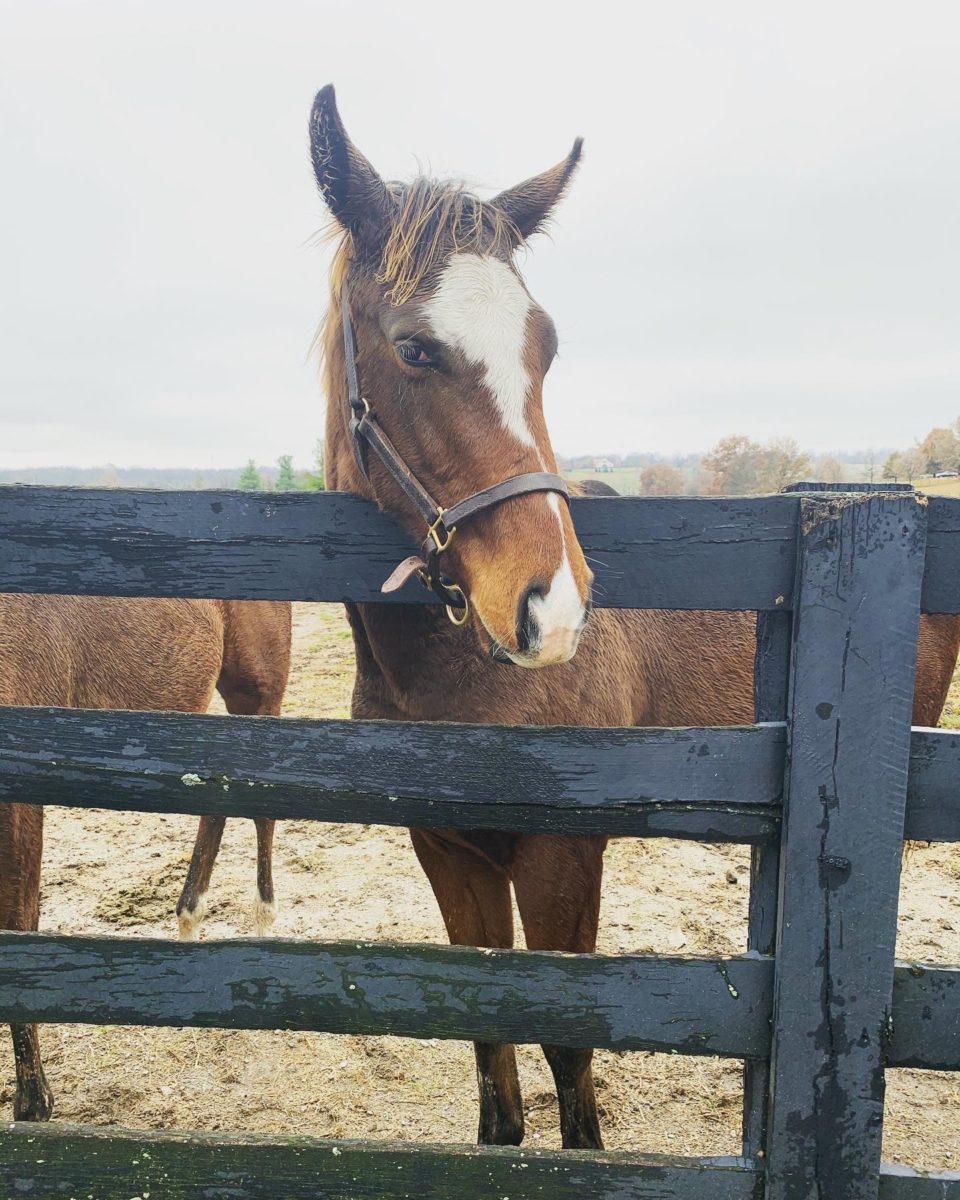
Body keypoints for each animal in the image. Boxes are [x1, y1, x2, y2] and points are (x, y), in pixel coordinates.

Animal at [309, 87, 960, 1152]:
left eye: (544, 346)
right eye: (412, 346)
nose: (551, 609)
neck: (452, 680)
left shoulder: (563, 856)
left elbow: (570, 1051)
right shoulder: (449, 851)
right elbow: (491, 1055)